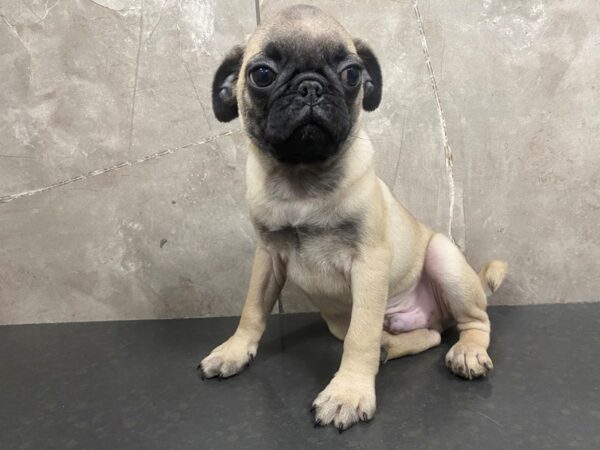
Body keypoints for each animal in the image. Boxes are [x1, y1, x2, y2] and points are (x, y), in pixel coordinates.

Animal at [198, 4, 506, 432]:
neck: (302, 180)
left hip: (445, 260)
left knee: (475, 321)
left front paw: (348, 393)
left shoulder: (369, 263)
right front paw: (235, 350)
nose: (311, 87)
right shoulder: (267, 257)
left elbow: (361, 336)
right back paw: (389, 345)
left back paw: (467, 352)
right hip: (351, 320)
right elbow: (252, 310)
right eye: (261, 74)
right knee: (425, 336)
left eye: (351, 74)